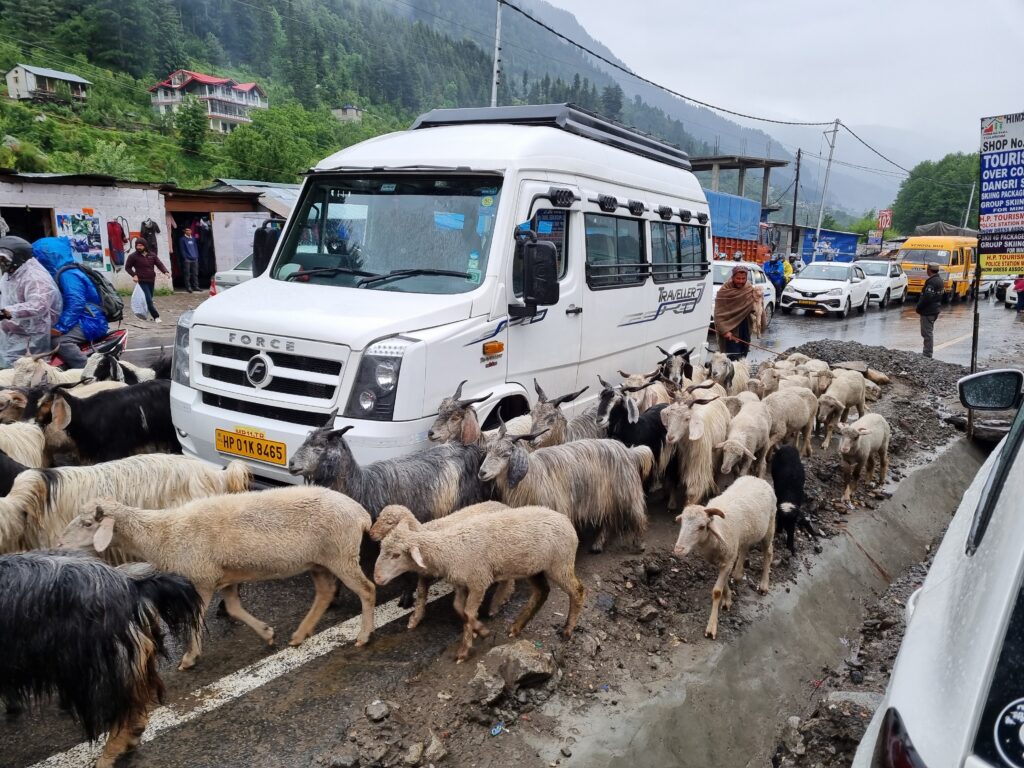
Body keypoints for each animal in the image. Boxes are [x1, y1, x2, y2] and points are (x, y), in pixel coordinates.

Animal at [59, 485, 376, 670]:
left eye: (87, 523)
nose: (60, 544)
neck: (162, 534)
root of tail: (360, 512)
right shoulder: (226, 576)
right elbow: (234, 609)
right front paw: (266, 633)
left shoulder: (202, 578)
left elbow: (196, 618)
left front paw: (189, 657)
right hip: (319, 561)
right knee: (324, 593)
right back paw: (300, 634)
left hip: (340, 554)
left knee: (367, 589)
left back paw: (363, 635)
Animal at [369, 502, 515, 630]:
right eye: (379, 518)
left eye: (389, 522)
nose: (370, 533)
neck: (424, 531)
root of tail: (502, 504)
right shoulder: (424, 574)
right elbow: (421, 594)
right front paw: (415, 619)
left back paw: (505, 595)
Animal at [479, 422, 652, 553]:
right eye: (488, 450)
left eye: (506, 454)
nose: (482, 472)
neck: (532, 474)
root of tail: (629, 451)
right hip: (604, 496)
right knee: (607, 518)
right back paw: (597, 544)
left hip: (626, 492)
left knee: (638, 515)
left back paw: (640, 544)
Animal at [672, 475, 776, 640]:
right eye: (682, 523)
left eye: (701, 527)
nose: (678, 550)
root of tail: (757, 478)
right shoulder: (720, 560)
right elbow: (724, 582)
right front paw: (728, 600)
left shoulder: (727, 559)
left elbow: (716, 591)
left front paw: (711, 627)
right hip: (746, 534)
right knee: (744, 547)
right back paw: (738, 573)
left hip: (770, 526)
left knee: (768, 552)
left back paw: (764, 584)